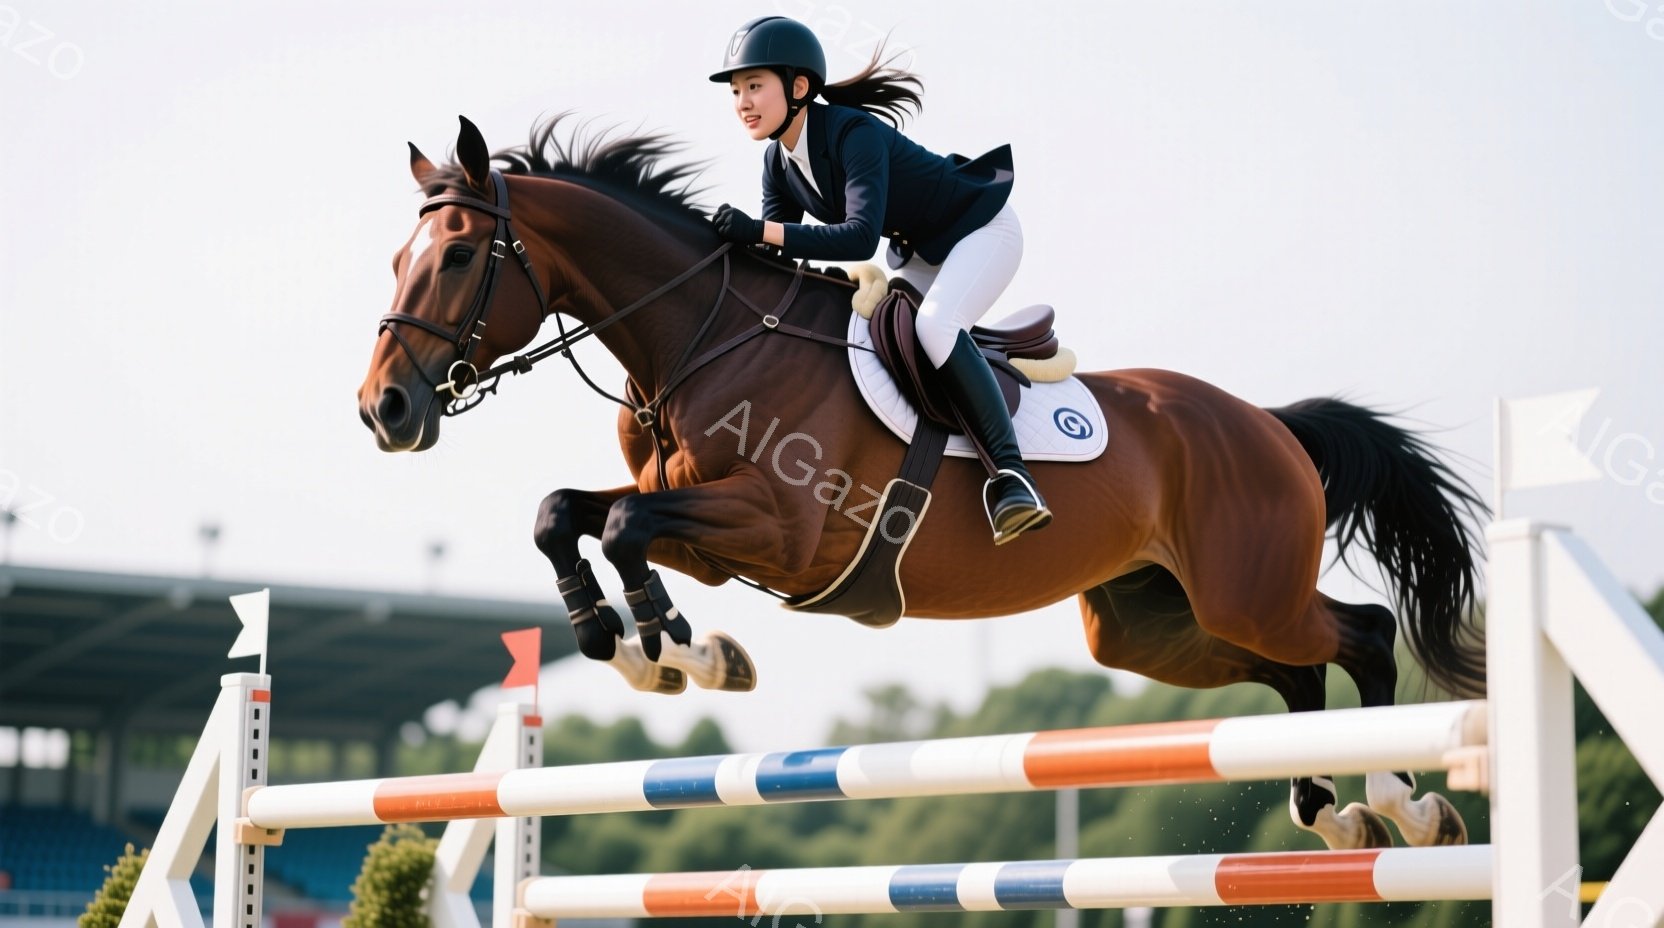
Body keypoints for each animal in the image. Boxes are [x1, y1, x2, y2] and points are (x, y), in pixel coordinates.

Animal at [357, 115, 1487, 852]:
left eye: (456, 257)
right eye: (399, 255)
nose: (384, 410)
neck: (704, 334)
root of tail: (1269, 424)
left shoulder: (776, 529)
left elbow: (627, 523)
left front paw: (674, 650)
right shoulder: (713, 536)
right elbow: (567, 514)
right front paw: (642, 648)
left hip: (1242, 589)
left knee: (1359, 635)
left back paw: (1401, 800)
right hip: (1150, 625)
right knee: (1294, 672)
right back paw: (1331, 809)